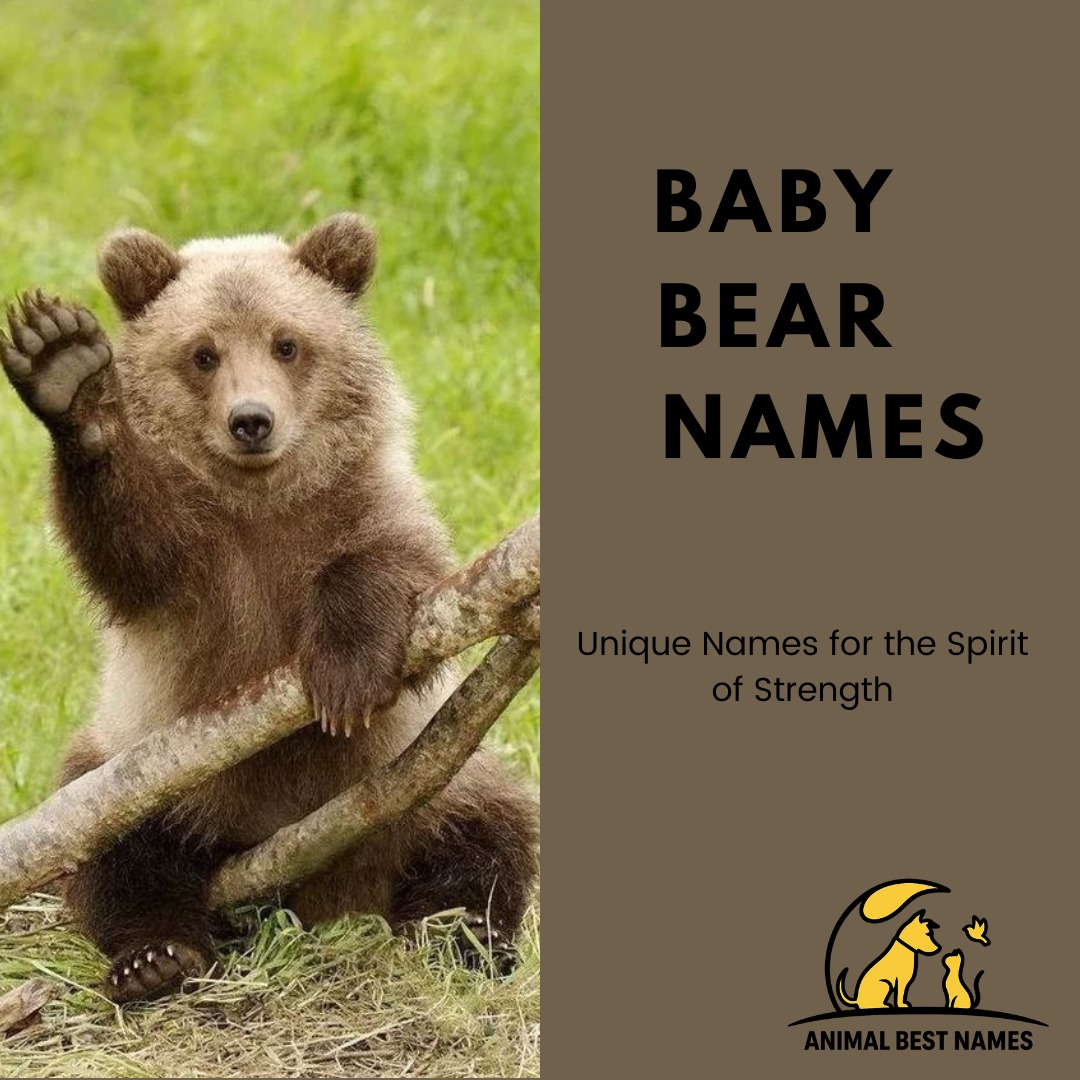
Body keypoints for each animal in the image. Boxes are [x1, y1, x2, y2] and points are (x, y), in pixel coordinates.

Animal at [0, 213, 539, 1002]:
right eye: (203, 353)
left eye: (288, 343)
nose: (251, 420)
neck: (261, 502)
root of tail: (320, 891)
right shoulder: (194, 564)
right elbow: (130, 546)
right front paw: (67, 369)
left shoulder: (365, 506)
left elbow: (399, 579)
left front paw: (346, 676)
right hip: (147, 771)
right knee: (117, 848)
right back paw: (156, 957)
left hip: (429, 782)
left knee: (488, 830)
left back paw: (466, 937)